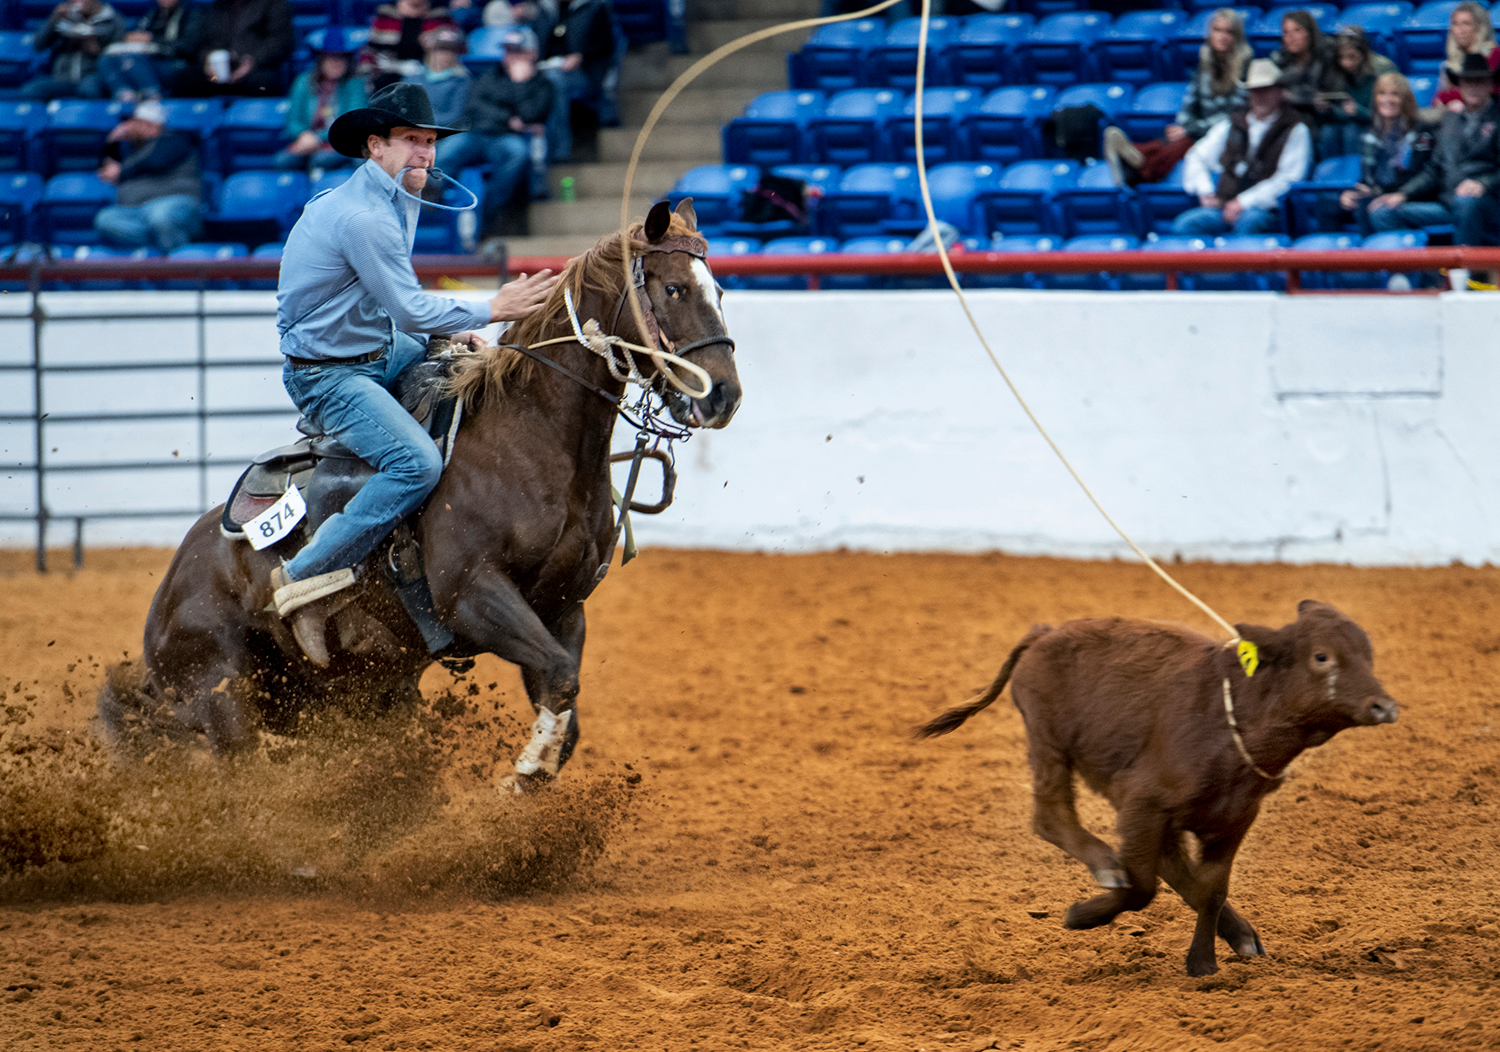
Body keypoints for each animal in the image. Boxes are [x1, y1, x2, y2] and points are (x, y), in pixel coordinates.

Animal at [99, 199, 744, 786]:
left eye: (717, 288)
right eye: (673, 289)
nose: (724, 396)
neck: (531, 441)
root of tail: (171, 590)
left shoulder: (562, 608)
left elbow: (564, 699)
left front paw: (532, 773)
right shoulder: (474, 596)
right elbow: (561, 680)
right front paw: (523, 772)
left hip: (348, 695)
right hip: (225, 700)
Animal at [918, 600, 1398, 978]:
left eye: (1369, 654)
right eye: (1322, 657)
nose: (1385, 706)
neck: (1234, 721)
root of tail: (1046, 632)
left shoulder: (1235, 819)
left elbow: (1209, 890)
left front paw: (1205, 961)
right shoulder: (1142, 803)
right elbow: (1143, 887)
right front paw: (1082, 915)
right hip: (1048, 742)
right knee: (1052, 815)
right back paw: (1106, 867)